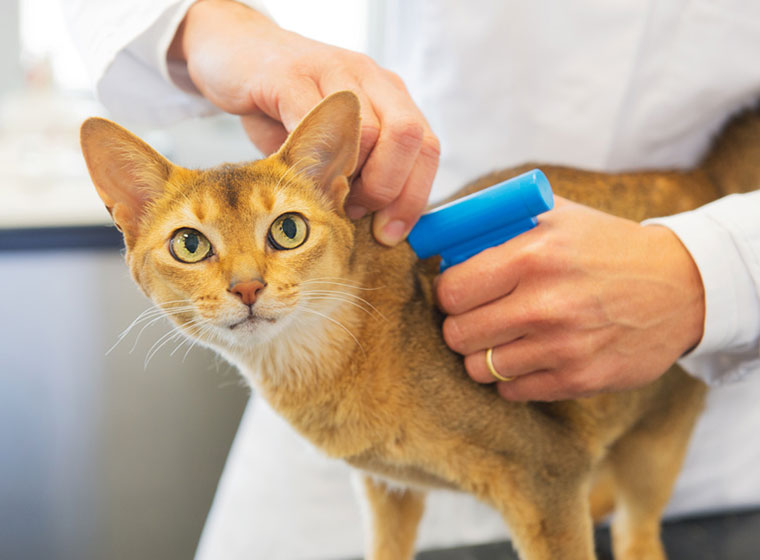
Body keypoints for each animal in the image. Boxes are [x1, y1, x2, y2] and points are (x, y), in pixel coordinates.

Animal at [80, 92, 756, 560]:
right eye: (190, 244)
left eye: (288, 230)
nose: (247, 288)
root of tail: (699, 177)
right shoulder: (388, 491)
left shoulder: (547, 477)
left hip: (660, 430)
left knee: (641, 529)